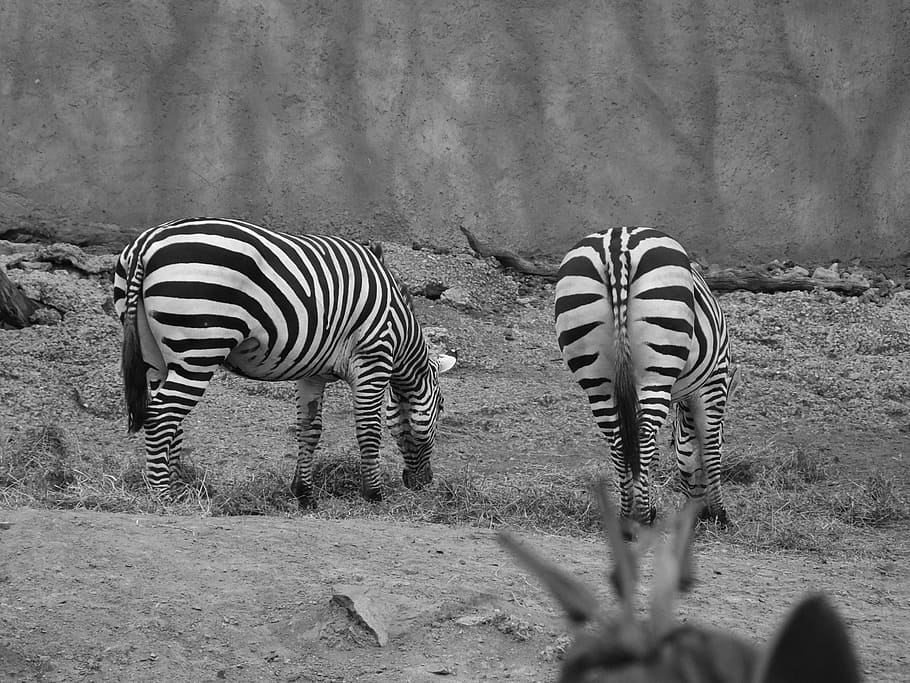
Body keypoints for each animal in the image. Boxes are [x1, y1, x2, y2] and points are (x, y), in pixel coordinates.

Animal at [113, 217, 456, 508]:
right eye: (440, 407)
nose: (423, 483)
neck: (402, 334)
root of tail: (147, 241)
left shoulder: (313, 373)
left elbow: (310, 429)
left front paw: (303, 493)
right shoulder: (374, 358)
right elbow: (369, 428)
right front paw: (373, 494)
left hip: (155, 354)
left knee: (171, 419)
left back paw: (179, 485)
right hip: (199, 348)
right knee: (161, 416)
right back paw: (163, 495)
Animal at [554, 227, 738, 526]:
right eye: (725, 438)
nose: (699, 514)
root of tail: (617, 243)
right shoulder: (715, 378)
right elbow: (708, 444)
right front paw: (721, 514)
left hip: (597, 376)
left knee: (619, 440)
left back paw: (626, 516)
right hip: (658, 366)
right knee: (641, 436)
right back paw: (642, 517)